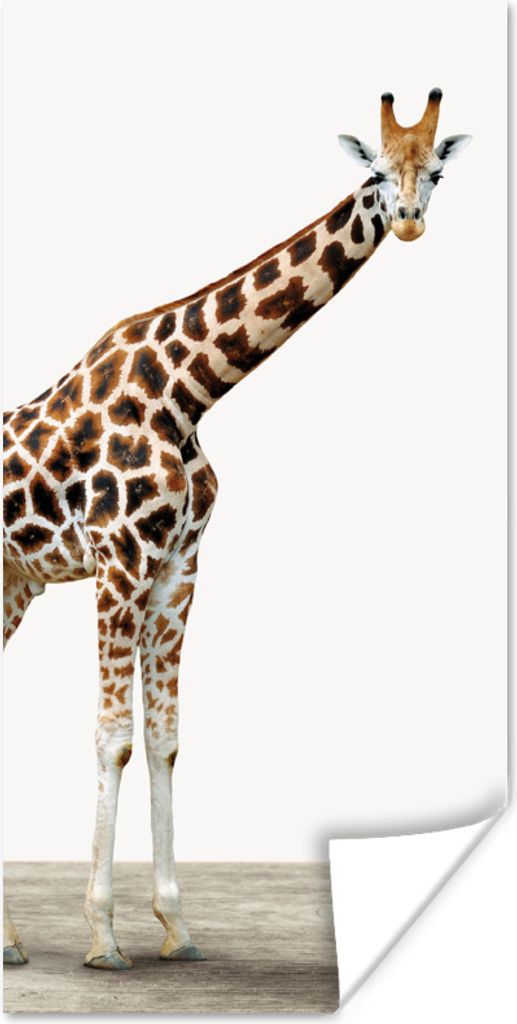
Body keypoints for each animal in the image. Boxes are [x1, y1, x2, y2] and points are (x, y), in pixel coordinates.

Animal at [3, 90, 470, 970]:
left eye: (434, 171)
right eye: (372, 170)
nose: (407, 222)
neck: (185, 391)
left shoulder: (176, 569)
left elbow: (163, 739)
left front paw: (175, 927)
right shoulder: (120, 564)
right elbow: (114, 738)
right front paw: (103, 937)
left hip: (15, 582)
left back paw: (10, 941)